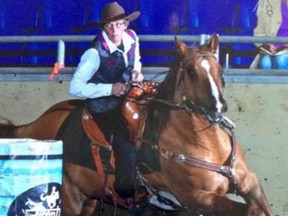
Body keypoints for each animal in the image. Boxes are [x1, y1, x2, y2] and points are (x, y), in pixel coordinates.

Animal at [0, 34, 274, 215]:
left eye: (219, 70)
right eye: (191, 72)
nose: (217, 108)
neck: (202, 141)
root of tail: (33, 126)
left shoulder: (250, 183)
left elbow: (262, 207)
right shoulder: (198, 198)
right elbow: (251, 211)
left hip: (89, 197)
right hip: (69, 198)